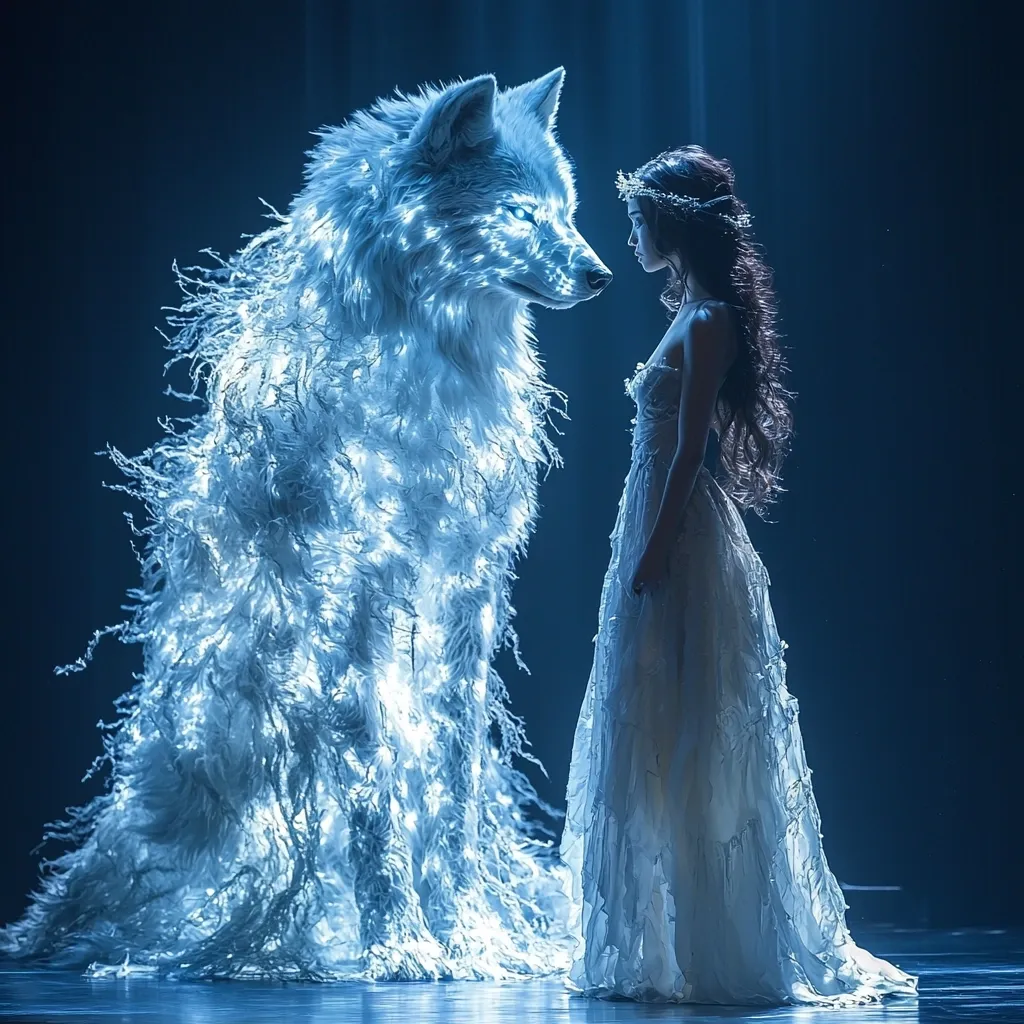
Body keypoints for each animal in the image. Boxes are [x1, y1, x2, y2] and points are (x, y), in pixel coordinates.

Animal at [1, 69, 610, 981]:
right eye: (520, 213)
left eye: (565, 211)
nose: (601, 273)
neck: (428, 364)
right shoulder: (357, 592)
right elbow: (375, 786)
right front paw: (401, 945)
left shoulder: (468, 590)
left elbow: (452, 789)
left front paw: (472, 939)